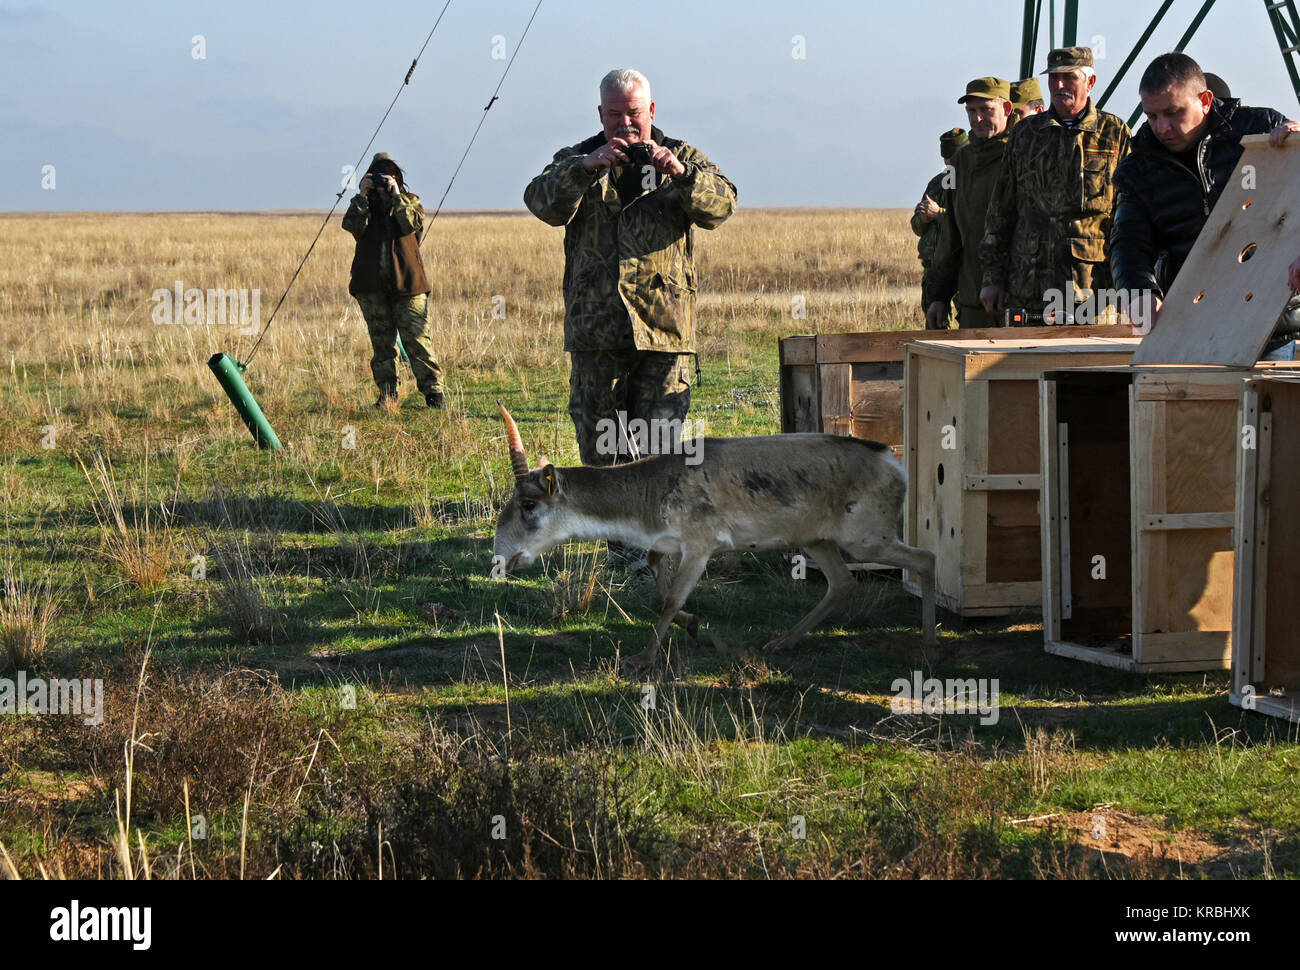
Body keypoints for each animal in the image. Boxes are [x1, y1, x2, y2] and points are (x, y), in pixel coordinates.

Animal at [492, 404, 936, 675]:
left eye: (528, 503)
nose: (500, 558)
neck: (650, 490)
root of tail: (893, 461)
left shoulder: (700, 546)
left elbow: (670, 599)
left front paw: (642, 658)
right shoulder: (666, 544)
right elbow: (656, 578)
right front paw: (692, 624)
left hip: (867, 540)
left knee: (926, 558)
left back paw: (930, 644)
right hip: (817, 540)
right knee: (842, 583)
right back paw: (780, 642)